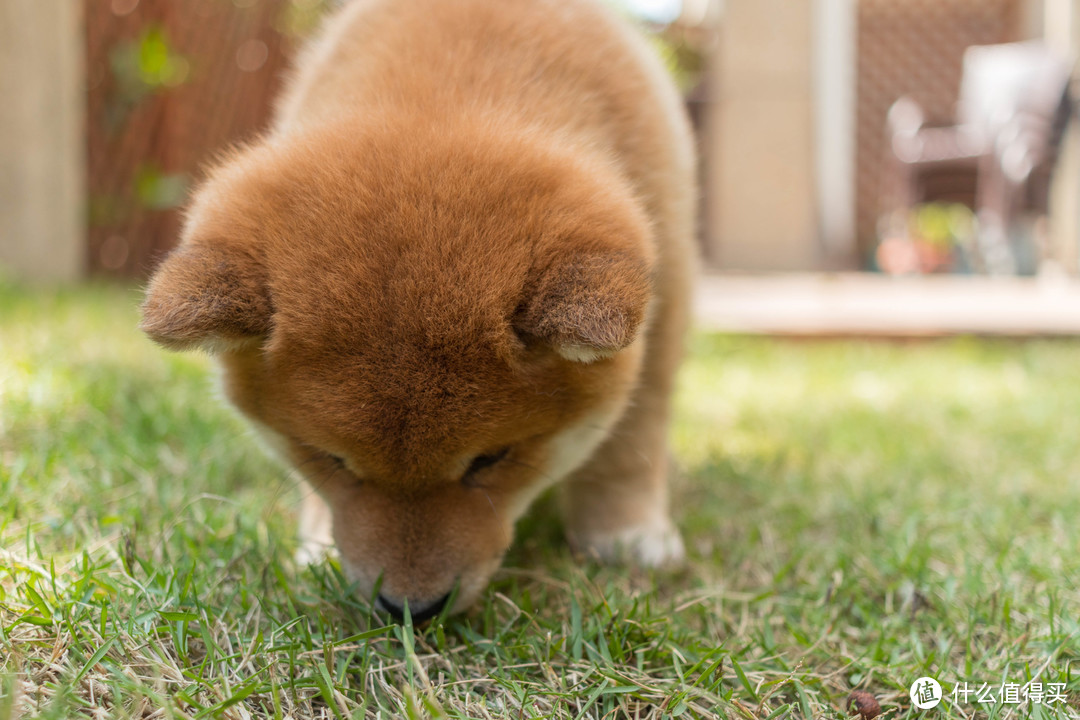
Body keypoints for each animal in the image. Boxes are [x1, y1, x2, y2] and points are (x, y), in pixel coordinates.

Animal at [141, 0, 691, 621]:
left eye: (490, 460)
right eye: (331, 459)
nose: (411, 609)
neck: (447, 90)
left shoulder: (666, 292)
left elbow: (630, 437)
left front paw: (625, 531)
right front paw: (318, 541)